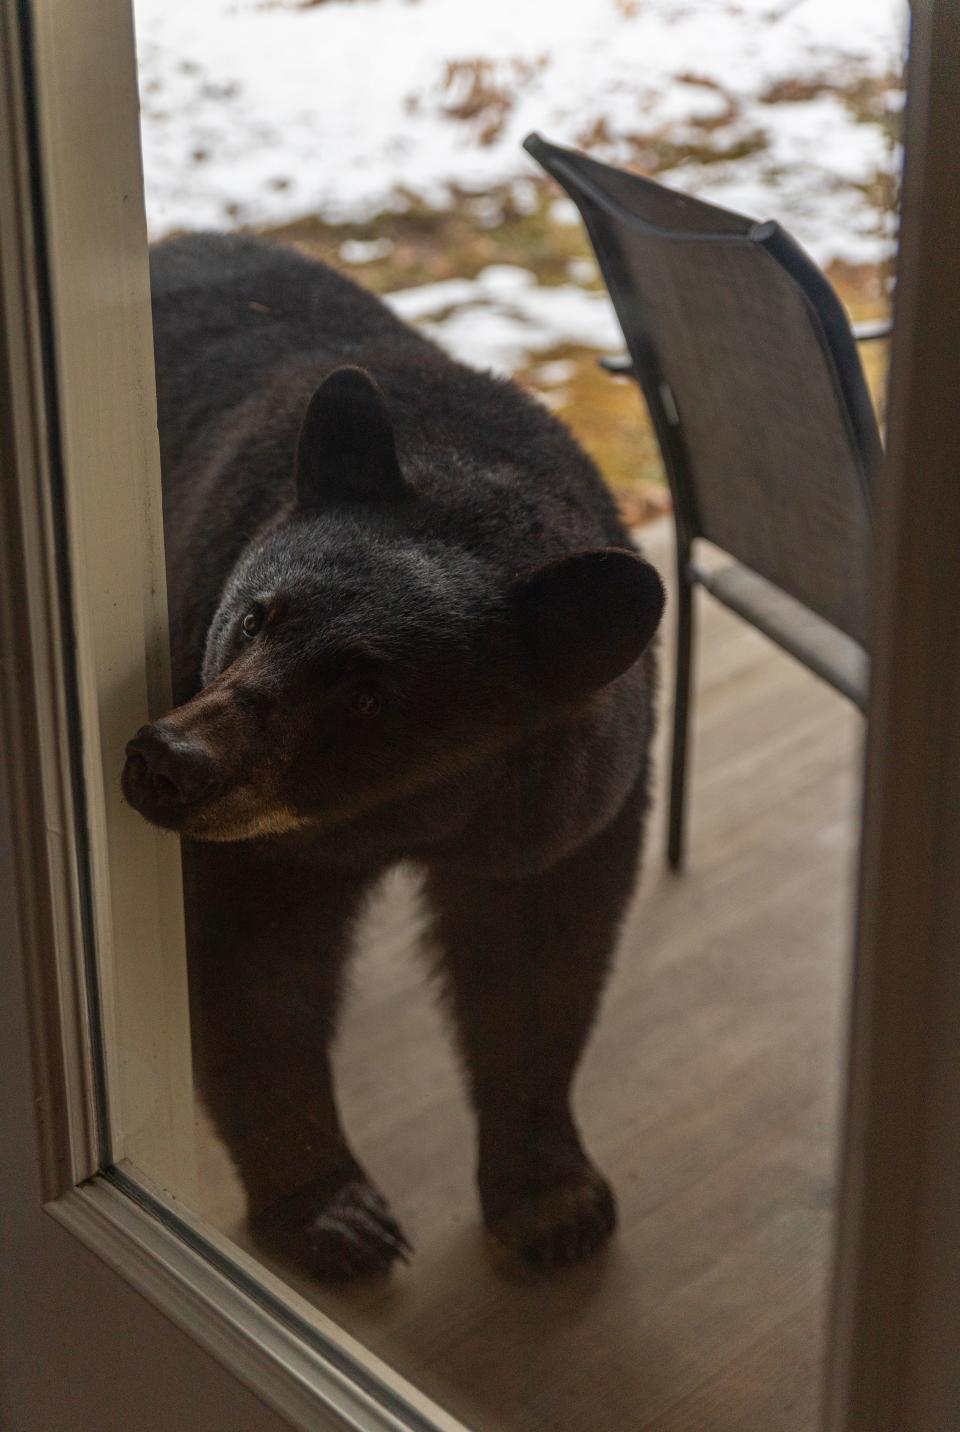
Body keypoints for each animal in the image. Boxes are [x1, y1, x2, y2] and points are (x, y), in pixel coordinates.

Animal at [123, 234, 664, 1277]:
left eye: (368, 698)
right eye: (254, 616)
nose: (170, 761)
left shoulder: (567, 811)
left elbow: (541, 958)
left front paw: (551, 1195)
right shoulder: (256, 844)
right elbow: (253, 975)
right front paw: (334, 1210)